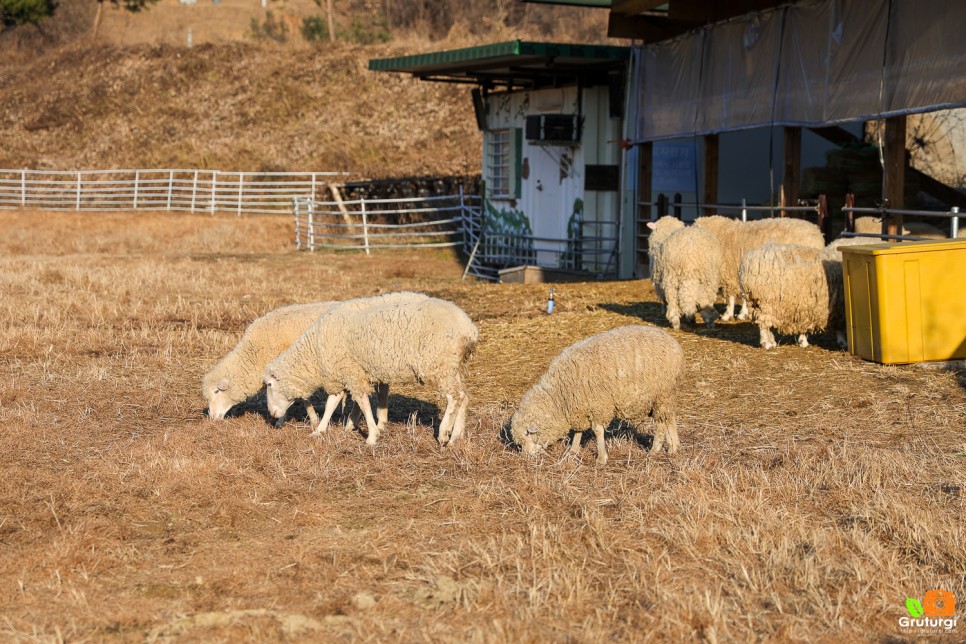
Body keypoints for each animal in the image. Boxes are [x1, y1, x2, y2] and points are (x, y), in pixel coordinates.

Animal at [262, 294, 478, 446]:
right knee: (464, 397)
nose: (271, 414)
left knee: (455, 397)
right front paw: (319, 431)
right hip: (453, 366)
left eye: (270, 385)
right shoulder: (343, 373)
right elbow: (331, 404)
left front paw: (372, 436)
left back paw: (443, 433)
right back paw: (456, 436)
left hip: (438, 364)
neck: (314, 352)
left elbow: (363, 403)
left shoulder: (352, 373)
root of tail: (469, 328)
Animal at [510, 328, 684, 462]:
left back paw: (655, 449)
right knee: (669, 418)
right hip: (665, 394)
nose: (526, 456)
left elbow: (598, 431)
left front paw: (601, 457)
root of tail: (674, 344)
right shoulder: (579, 407)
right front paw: (572, 451)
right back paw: (673, 447)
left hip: (661, 392)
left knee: (661, 422)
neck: (560, 396)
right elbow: (578, 431)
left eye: (527, 433)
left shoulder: (598, 404)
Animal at [696, 215, 824, 320]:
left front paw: (728, 314)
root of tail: (818, 235)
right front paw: (744, 313)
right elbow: (744, 296)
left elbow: (731, 297)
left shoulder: (730, 271)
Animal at [740, 236, 868, 350]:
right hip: (767, 300)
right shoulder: (837, 306)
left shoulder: (808, 306)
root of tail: (748, 262)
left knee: (764, 323)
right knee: (763, 324)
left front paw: (803, 341)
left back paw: (771, 341)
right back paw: (767, 344)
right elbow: (839, 327)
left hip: (754, 302)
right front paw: (843, 342)